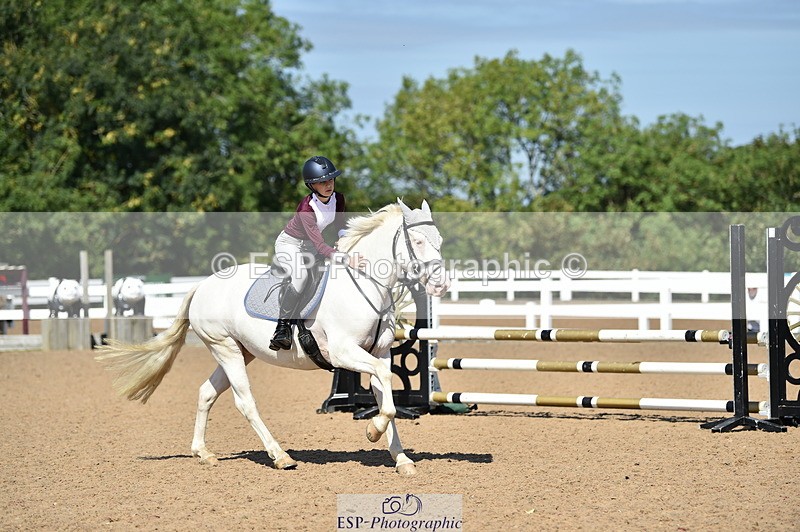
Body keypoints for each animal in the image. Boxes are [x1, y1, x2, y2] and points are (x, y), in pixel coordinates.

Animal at [95, 199, 450, 476]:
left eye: (440, 240)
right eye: (417, 241)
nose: (441, 285)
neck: (364, 284)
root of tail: (202, 285)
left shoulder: (379, 354)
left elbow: (384, 394)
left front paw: (401, 459)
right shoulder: (344, 353)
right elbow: (385, 397)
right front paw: (372, 431)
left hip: (239, 351)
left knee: (206, 393)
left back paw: (204, 453)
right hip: (225, 348)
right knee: (245, 402)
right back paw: (281, 456)